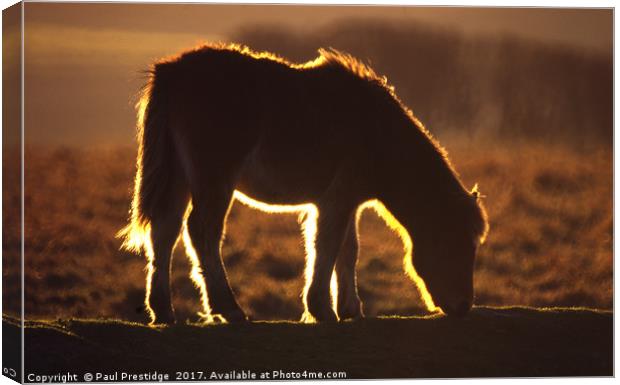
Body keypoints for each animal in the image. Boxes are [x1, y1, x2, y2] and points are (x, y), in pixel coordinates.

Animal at [118, 42, 490, 324]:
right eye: (458, 242)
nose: (463, 305)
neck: (376, 131)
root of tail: (173, 73)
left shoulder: (346, 202)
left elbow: (348, 251)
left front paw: (350, 308)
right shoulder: (336, 200)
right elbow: (326, 246)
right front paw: (322, 309)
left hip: (178, 178)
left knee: (164, 231)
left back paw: (163, 311)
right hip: (214, 181)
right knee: (201, 232)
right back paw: (230, 310)